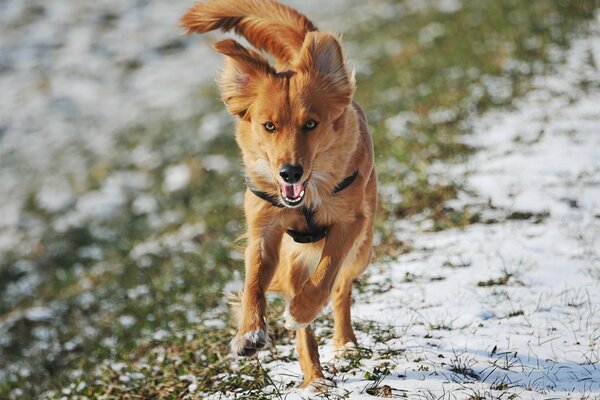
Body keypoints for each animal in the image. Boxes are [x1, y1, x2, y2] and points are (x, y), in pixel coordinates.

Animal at [179, 0, 376, 390]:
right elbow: (254, 283)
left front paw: (300, 310)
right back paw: (314, 377)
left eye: (311, 124)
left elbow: (326, 274)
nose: (290, 172)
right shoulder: (264, 230)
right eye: (268, 126)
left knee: (342, 286)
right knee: (305, 319)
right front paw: (249, 333)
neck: (306, 196)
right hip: (294, 257)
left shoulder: (349, 222)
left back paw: (343, 341)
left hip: (363, 248)